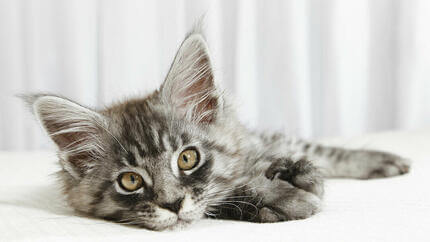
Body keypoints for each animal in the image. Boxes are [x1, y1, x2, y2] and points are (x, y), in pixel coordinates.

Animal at [24, 28, 410, 231]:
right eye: (130, 181)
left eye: (187, 159)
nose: (171, 204)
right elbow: (227, 194)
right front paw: (284, 197)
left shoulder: (261, 138)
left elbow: (317, 151)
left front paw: (378, 161)